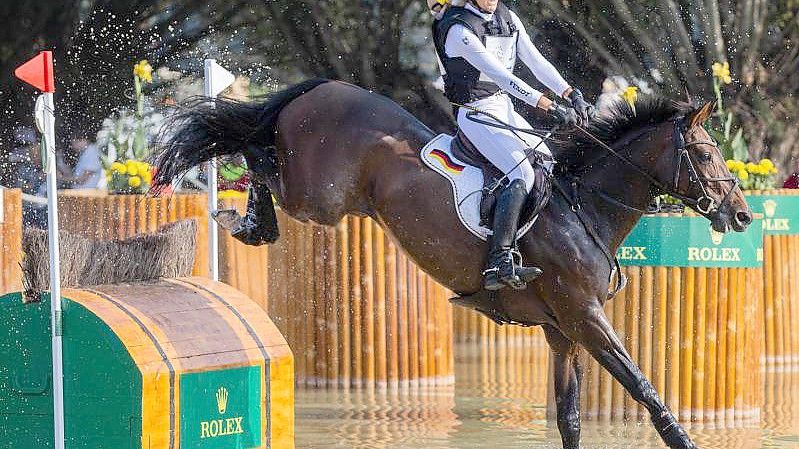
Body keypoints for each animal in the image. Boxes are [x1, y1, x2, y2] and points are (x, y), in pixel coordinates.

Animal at [152, 79, 756, 446]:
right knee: (256, 156)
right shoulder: (585, 317)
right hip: (319, 197)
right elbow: (645, 391)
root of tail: (326, 86)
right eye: (706, 153)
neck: (585, 208)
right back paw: (246, 219)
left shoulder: (562, 332)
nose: (743, 214)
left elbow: (571, 418)